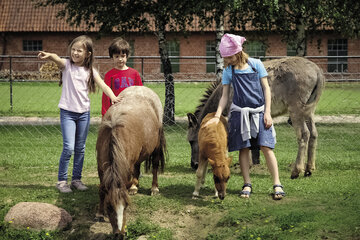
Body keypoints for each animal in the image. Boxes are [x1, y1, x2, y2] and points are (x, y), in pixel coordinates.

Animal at [95, 86, 167, 236]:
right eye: (109, 207)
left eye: (126, 206)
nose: (120, 234)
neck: (113, 133)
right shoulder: (100, 167)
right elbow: (102, 190)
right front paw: (99, 213)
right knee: (137, 168)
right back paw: (134, 187)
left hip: (156, 147)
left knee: (155, 166)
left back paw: (154, 188)